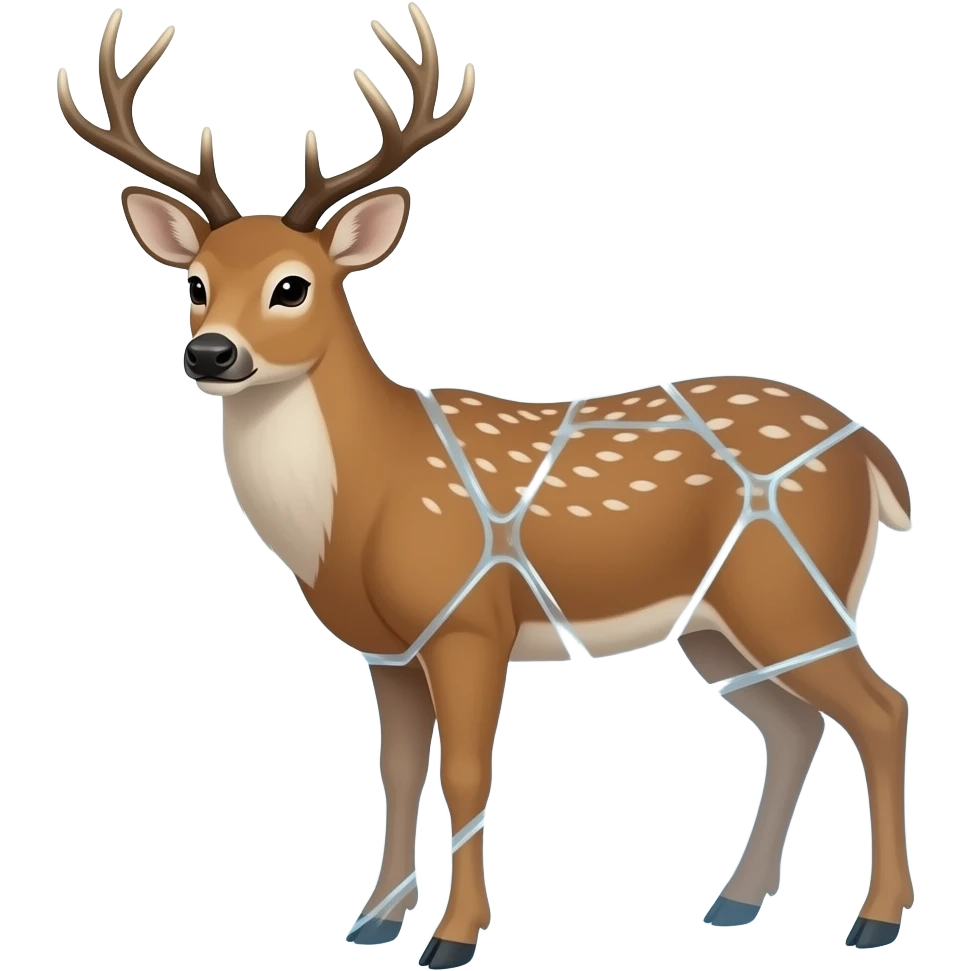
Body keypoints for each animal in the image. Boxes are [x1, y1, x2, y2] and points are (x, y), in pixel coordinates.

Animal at [56, 5, 916, 965]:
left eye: (292, 286)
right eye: (195, 283)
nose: (210, 354)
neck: (362, 505)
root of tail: (871, 449)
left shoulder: (470, 616)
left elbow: (467, 772)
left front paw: (454, 936)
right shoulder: (387, 646)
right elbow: (398, 771)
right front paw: (373, 919)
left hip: (791, 586)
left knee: (881, 708)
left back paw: (875, 918)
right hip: (719, 622)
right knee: (793, 723)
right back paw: (733, 901)